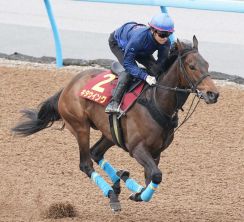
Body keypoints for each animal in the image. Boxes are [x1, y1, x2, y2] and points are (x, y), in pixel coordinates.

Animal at [11, 36, 219, 212]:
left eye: (207, 64)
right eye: (192, 66)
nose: (213, 94)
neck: (156, 101)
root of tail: (67, 87)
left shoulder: (156, 152)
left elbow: (151, 177)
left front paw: (135, 190)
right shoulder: (137, 148)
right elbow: (156, 175)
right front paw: (135, 192)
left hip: (110, 133)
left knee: (96, 152)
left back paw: (120, 181)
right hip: (80, 127)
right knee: (86, 163)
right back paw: (111, 192)